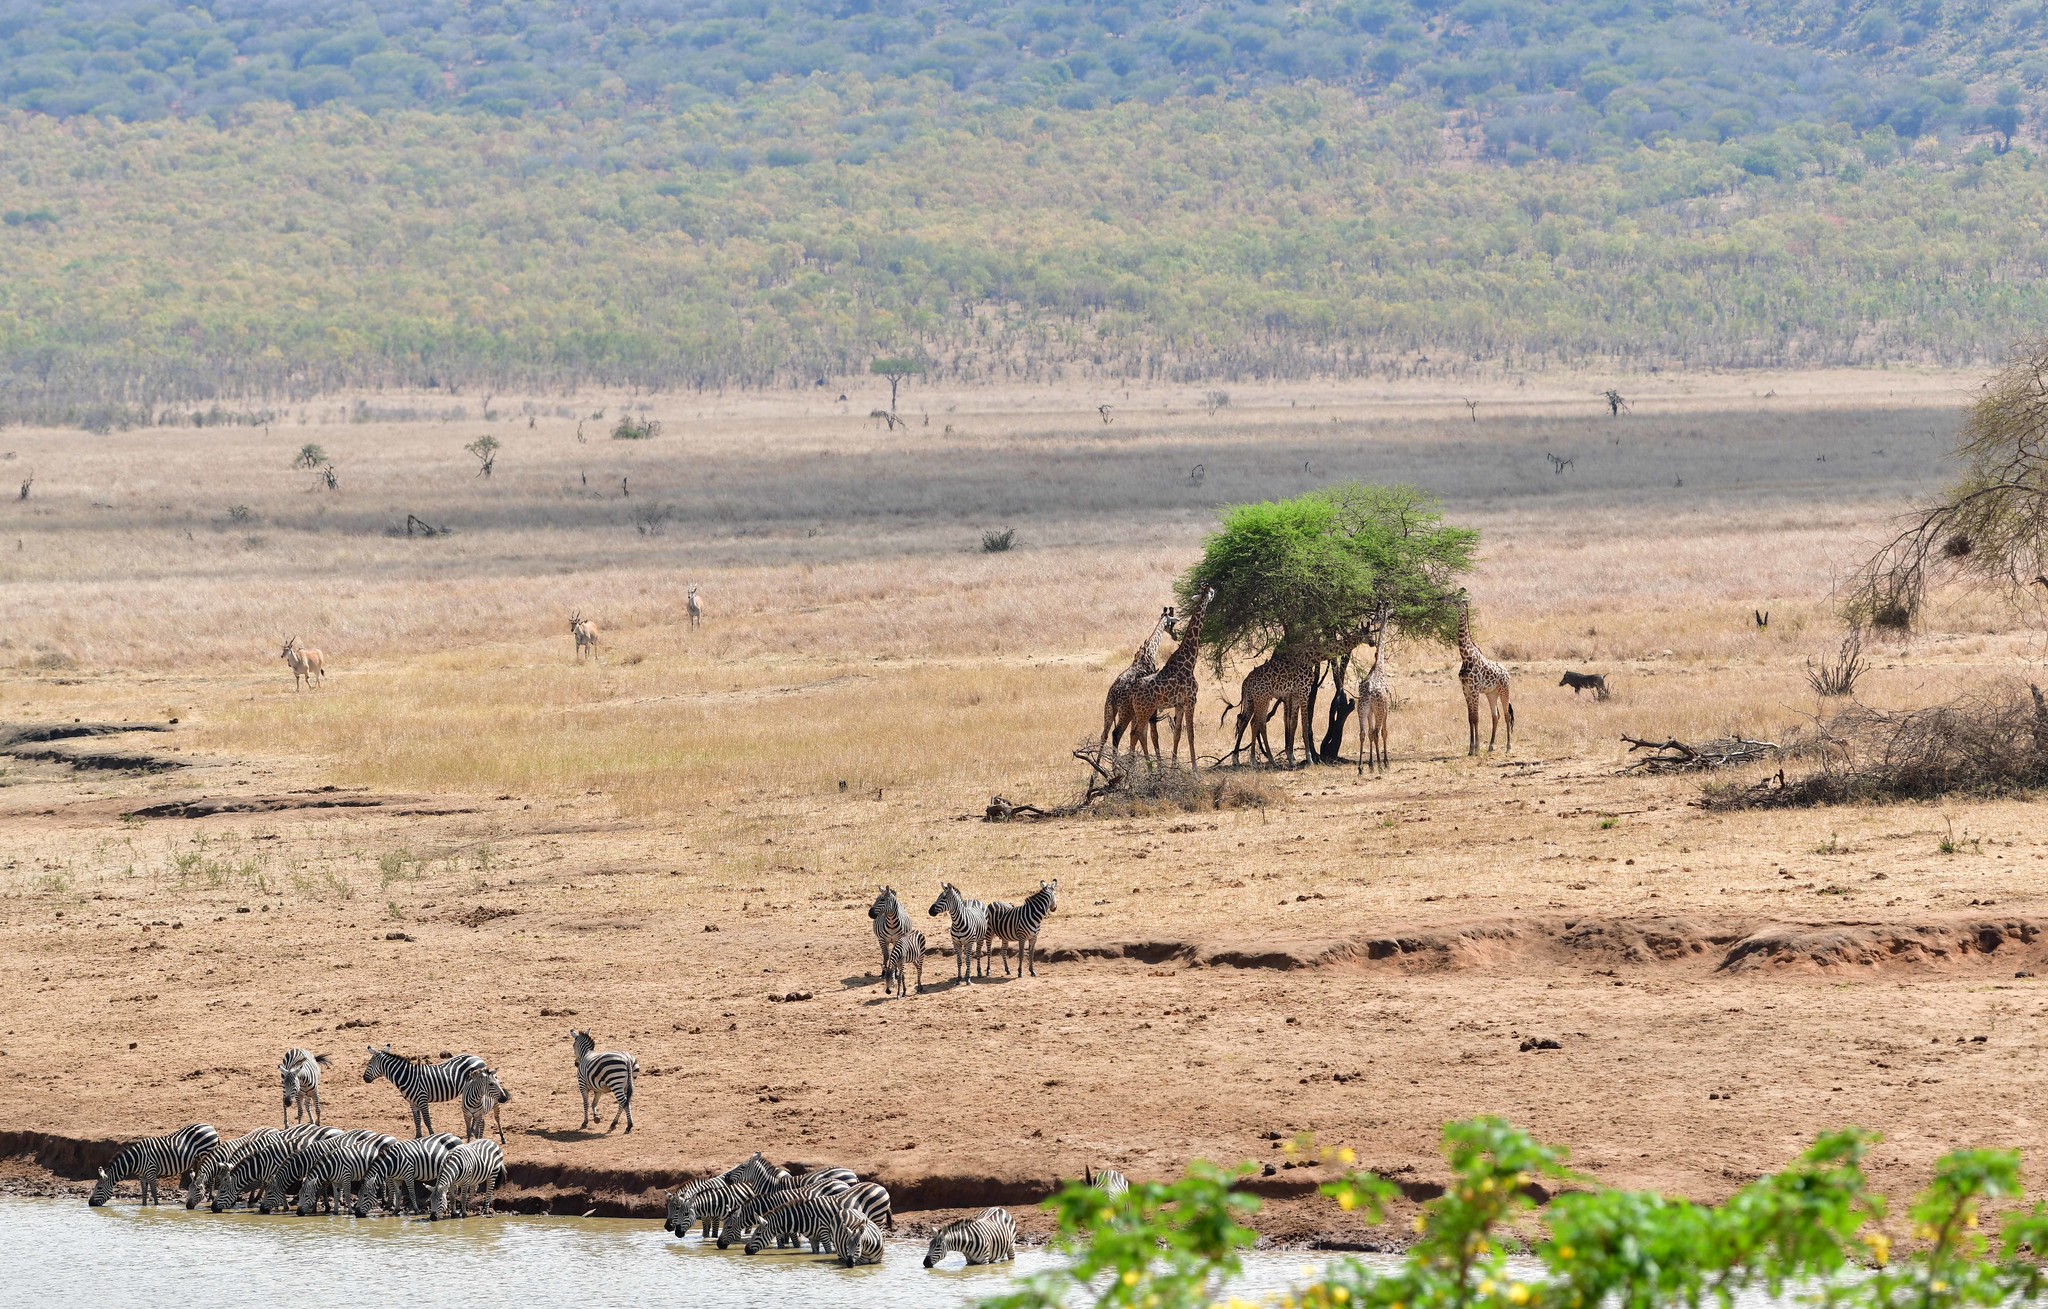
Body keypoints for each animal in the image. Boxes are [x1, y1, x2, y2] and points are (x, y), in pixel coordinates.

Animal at [89, 1124, 220, 1207]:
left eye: (99, 1188)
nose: (90, 1203)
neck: (136, 1160)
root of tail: (210, 1127)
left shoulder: (151, 1172)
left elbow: (153, 1192)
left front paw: (156, 1206)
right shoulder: (142, 1176)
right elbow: (144, 1192)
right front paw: (144, 1206)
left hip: (207, 1153)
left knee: (212, 1176)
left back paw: (209, 1197)